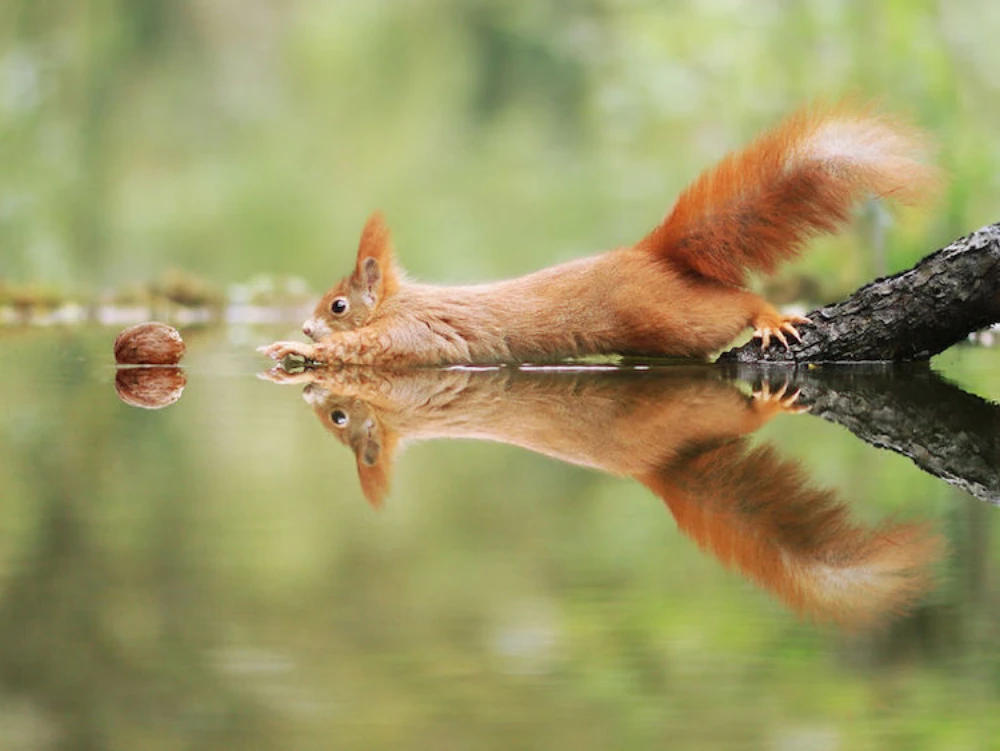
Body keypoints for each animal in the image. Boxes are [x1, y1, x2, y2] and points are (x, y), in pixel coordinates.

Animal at [259, 107, 936, 367]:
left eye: (338, 305)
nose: (306, 327)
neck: (401, 303)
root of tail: (646, 253)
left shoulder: (410, 336)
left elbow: (365, 353)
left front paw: (293, 350)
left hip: (667, 316)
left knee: (735, 305)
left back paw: (770, 316)